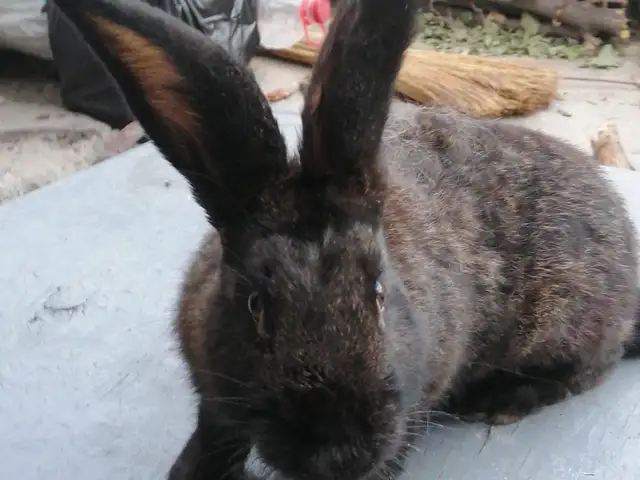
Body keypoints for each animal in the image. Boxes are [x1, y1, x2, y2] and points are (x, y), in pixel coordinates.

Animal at [52, 0, 640, 479]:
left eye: (378, 294)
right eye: (255, 305)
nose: (339, 454)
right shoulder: (214, 394)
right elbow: (214, 432)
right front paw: (189, 471)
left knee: (593, 366)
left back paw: (498, 399)